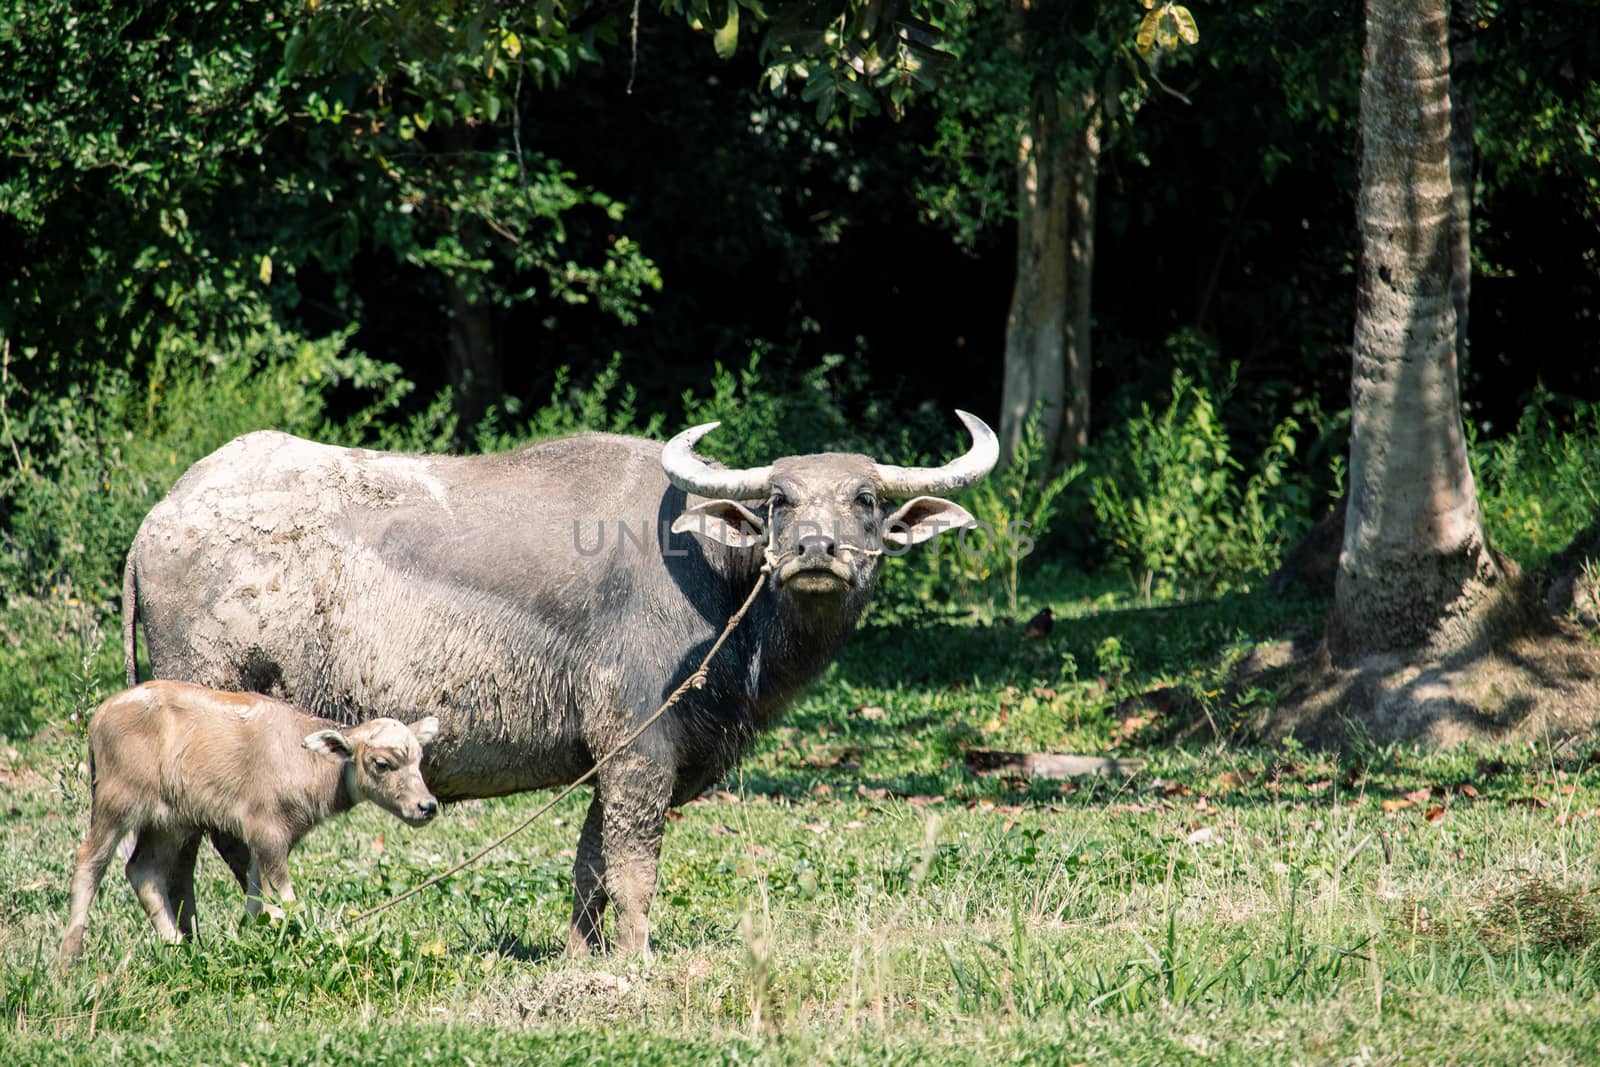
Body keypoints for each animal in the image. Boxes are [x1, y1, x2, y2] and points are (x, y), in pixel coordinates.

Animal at [59, 684, 438, 966]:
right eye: (382, 764)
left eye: (419, 759)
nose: (427, 806)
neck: (304, 758)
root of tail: (99, 716)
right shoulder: (267, 832)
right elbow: (285, 898)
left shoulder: (268, 840)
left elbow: (259, 897)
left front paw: (259, 940)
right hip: (115, 803)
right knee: (90, 861)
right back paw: (71, 955)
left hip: (170, 822)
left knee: (144, 872)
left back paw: (178, 948)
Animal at [124, 412, 992, 953]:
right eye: (779, 500)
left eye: (865, 498)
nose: (815, 550)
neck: (713, 581)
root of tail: (160, 519)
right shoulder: (640, 752)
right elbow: (634, 869)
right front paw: (638, 959)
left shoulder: (608, 764)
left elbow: (590, 865)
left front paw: (583, 955)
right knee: (196, 845)